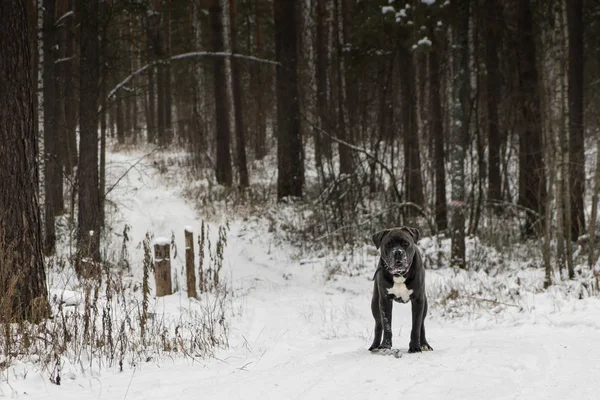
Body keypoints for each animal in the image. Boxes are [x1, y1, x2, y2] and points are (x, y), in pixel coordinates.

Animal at [368, 225, 434, 354]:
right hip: (375, 303)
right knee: (378, 325)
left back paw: (424, 344)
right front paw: (385, 346)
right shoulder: (385, 300)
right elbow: (387, 325)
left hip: (424, 304)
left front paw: (415, 347)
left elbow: (416, 326)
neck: (399, 274)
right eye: (388, 245)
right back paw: (374, 346)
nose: (398, 252)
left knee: (422, 324)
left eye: (405, 243)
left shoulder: (418, 300)